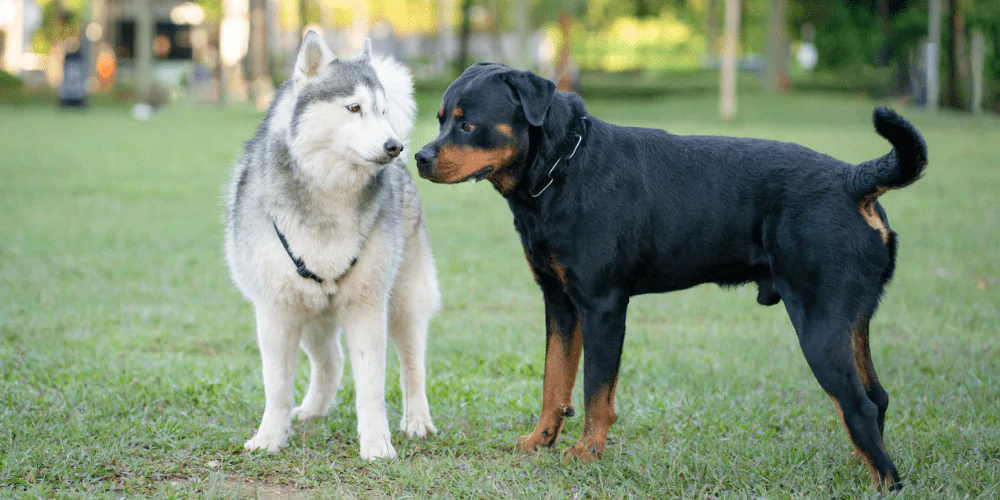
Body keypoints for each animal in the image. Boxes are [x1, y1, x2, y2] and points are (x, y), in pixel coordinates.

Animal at [227, 32, 438, 460]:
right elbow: (277, 386)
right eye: (354, 108)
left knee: (412, 365)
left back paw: (417, 421)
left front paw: (376, 444)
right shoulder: (276, 310)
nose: (395, 146)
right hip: (313, 313)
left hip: (404, 302)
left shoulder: (367, 308)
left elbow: (372, 386)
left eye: (382, 110)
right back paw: (310, 410)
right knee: (331, 361)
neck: (328, 191)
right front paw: (270, 437)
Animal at [416, 61, 928, 488]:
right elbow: (554, 379)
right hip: (849, 320)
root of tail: (853, 180)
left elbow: (595, 390)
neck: (562, 168)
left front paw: (587, 451)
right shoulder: (559, 303)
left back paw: (883, 481)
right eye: (440, 119)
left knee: (859, 404)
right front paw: (540, 439)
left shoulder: (602, 306)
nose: (420, 156)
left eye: (467, 123)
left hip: (819, 324)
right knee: (876, 397)